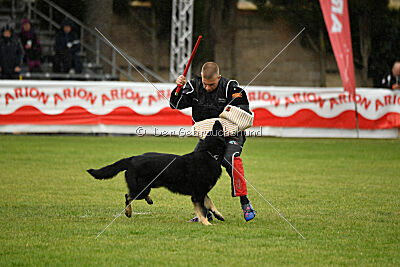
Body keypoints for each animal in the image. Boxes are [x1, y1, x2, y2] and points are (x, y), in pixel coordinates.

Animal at [86, 122, 227, 226]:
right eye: (218, 130)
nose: (217, 120)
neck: (210, 154)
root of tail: (132, 159)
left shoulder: (202, 192)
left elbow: (210, 203)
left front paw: (218, 215)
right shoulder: (197, 194)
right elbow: (202, 211)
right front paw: (206, 223)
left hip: (148, 186)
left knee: (134, 195)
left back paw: (148, 200)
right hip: (142, 188)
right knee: (128, 196)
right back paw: (128, 212)